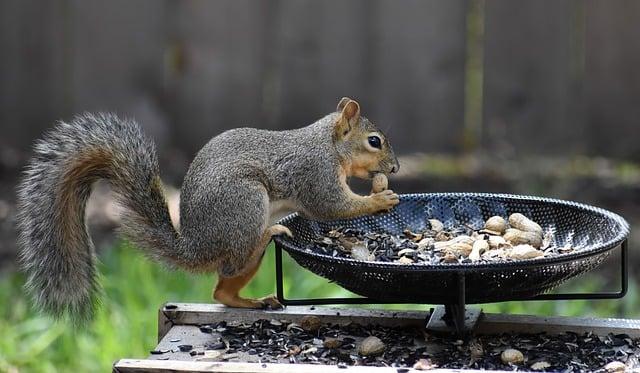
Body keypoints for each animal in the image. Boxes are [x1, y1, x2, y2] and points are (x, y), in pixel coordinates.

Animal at [16, 96, 400, 320]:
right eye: (374, 141)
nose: (395, 168)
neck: (329, 145)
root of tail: (196, 246)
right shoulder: (315, 172)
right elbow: (330, 206)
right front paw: (380, 198)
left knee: (223, 288)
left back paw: (252, 300)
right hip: (245, 203)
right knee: (236, 262)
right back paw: (269, 234)